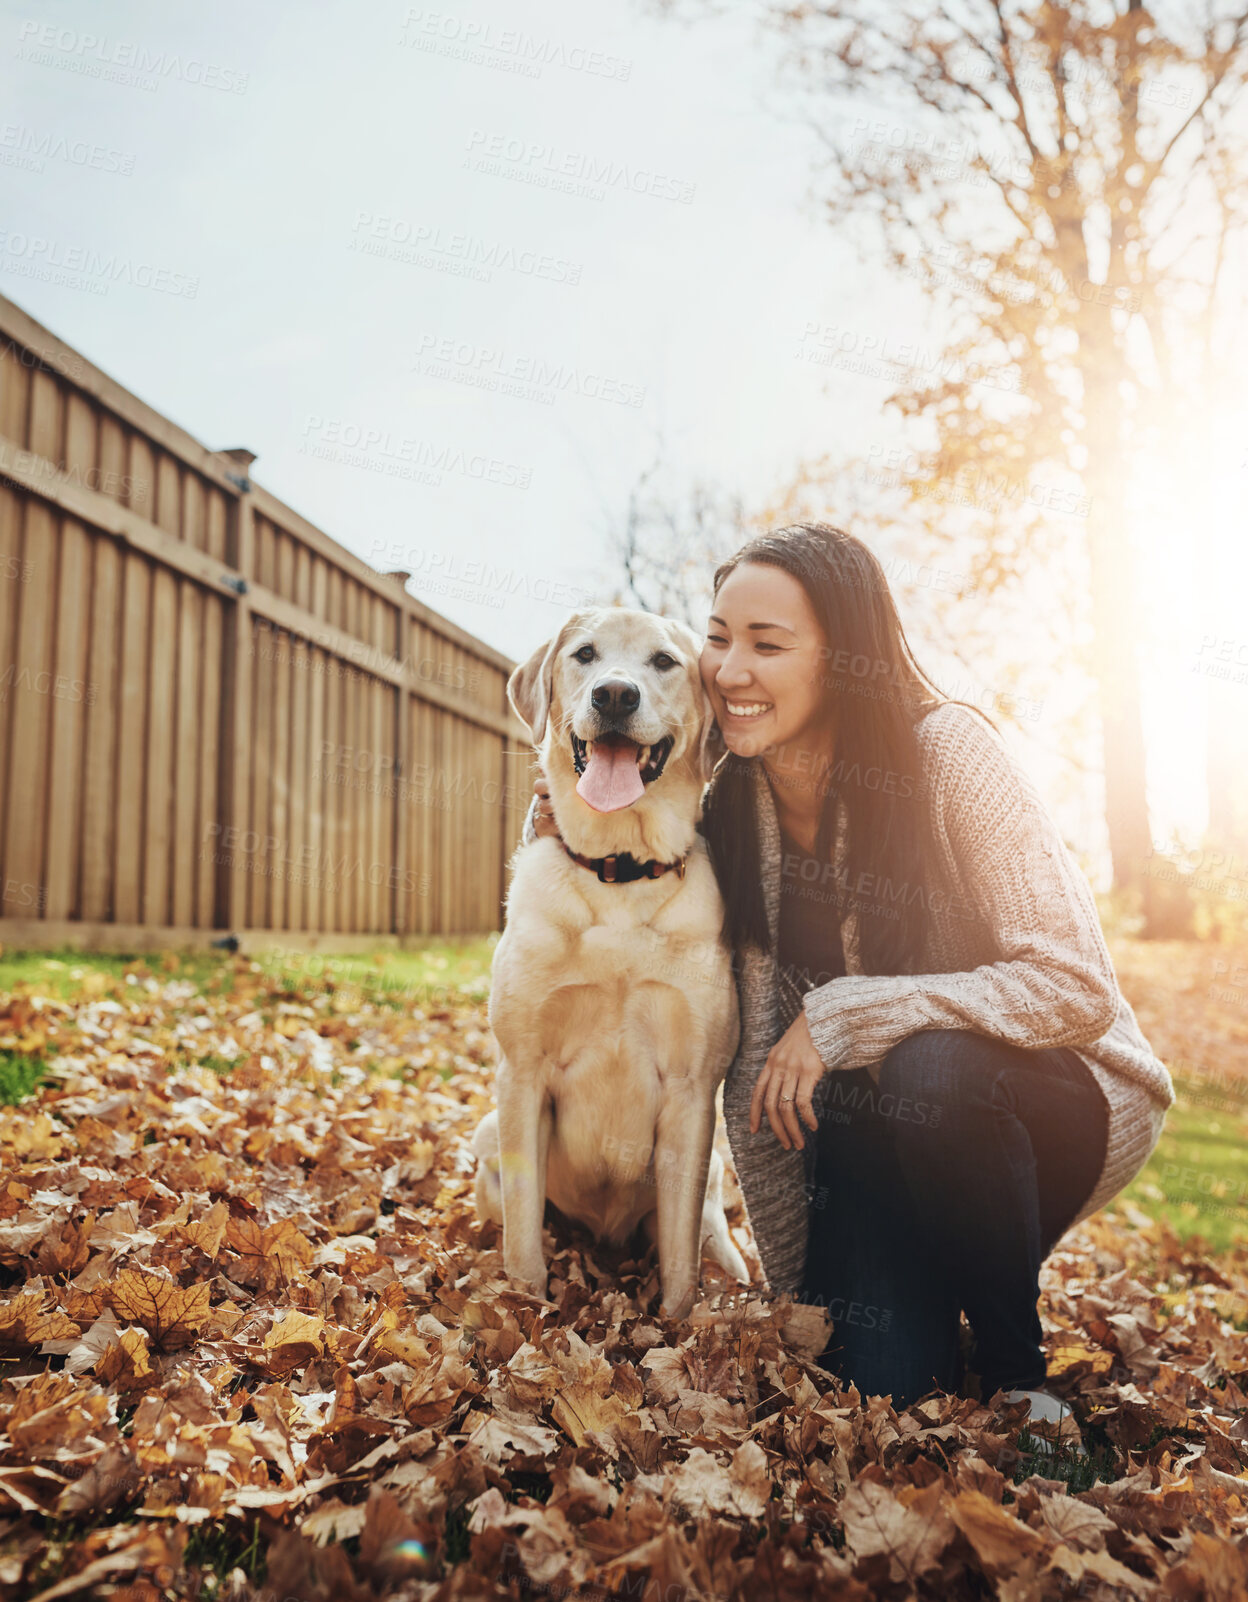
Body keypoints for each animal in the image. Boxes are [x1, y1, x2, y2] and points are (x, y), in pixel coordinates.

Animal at [474, 605, 746, 1320]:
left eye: (664, 662)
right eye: (586, 655)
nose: (616, 695)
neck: (620, 871)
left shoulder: (691, 1090)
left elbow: (680, 1259)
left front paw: (680, 1325)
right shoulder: (522, 1073)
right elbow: (522, 1240)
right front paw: (525, 1306)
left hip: (714, 1171)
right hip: (488, 1133)